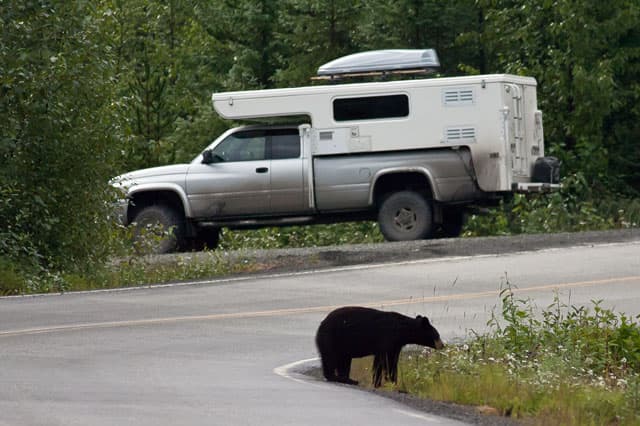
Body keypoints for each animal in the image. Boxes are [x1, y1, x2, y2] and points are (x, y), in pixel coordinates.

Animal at [316, 304, 444, 388]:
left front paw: (392, 381)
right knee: (330, 359)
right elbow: (382, 362)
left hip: (342, 346)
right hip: (332, 339)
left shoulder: (395, 345)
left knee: (343, 362)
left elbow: (392, 361)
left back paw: (347, 378)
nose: (442, 345)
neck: (401, 330)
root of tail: (321, 325)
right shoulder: (386, 339)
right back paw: (345, 379)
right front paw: (380, 382)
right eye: (437, 335)